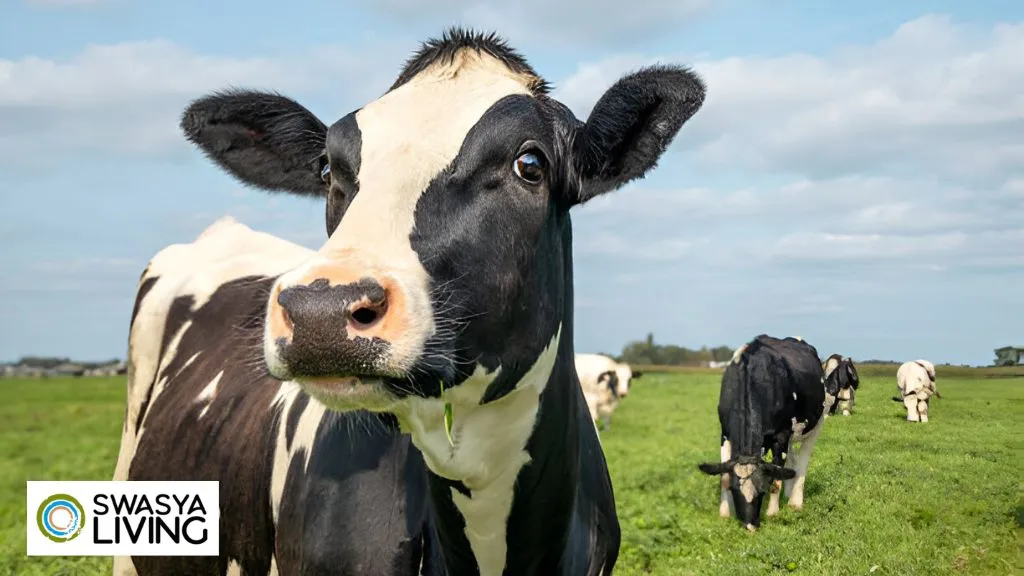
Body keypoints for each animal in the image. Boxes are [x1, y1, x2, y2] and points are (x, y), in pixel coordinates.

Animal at [697, 335, 829, 532]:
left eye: (762, 490)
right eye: (734, 490)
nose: (750, 526)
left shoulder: (781, 435)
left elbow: (776, 478)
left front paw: (773, 513)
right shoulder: (725, 433)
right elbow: (724, 476)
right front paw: (724, 514)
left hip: (817, 423)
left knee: (802, 461)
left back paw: (795, 502)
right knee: (792, 462)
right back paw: (788, 494)